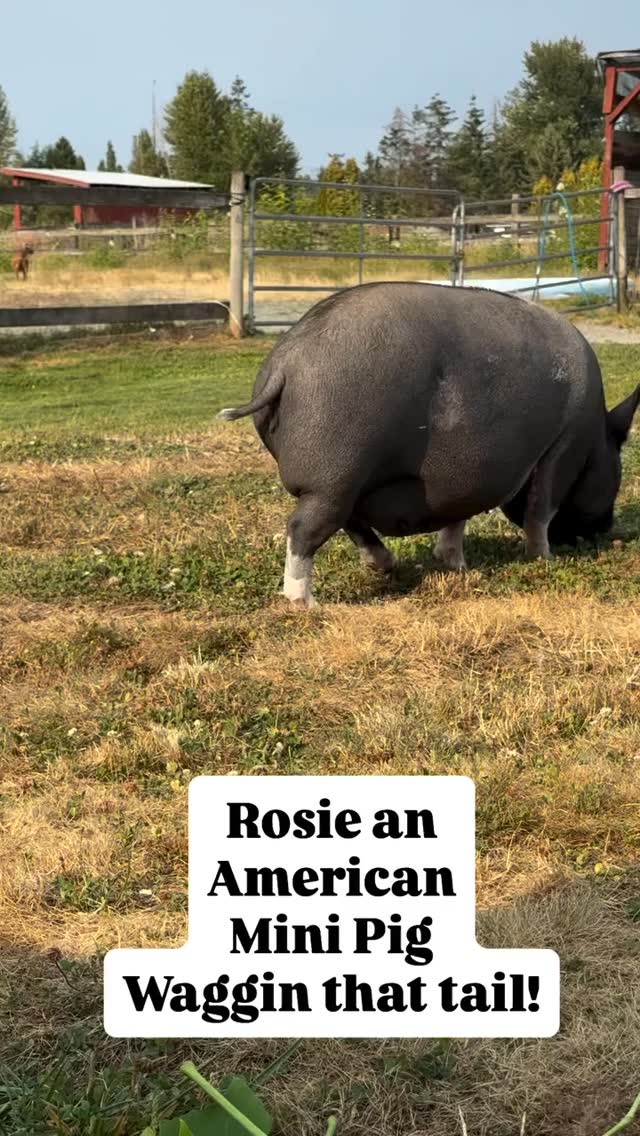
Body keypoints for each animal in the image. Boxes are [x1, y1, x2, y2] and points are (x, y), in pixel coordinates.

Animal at [219, 282, 639, 607]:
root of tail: (285, 365)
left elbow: (457, 516)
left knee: (349, 523)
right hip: (334, 475)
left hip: (343, 481)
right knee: (304, 529)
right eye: (615, 476)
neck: (594, 435)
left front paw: (454, 565)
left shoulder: (467, 476)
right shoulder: (561, 448)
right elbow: (540, 510)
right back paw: (305, 603)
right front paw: (543, 560)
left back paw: (385, 566)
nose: (607, 529)